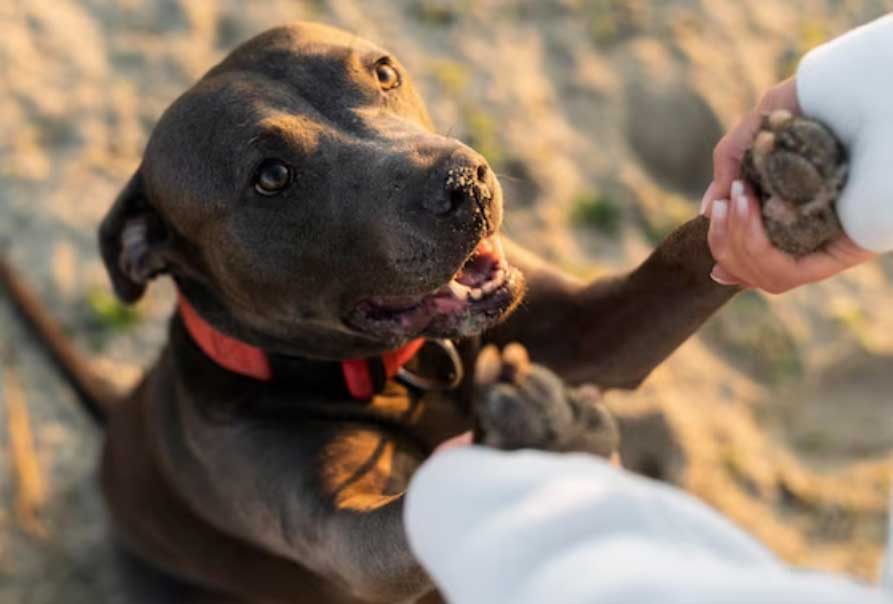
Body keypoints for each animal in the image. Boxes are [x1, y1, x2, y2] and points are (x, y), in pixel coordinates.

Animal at [0, 21, 736, 604]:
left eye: (383, 72)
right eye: (271, 176)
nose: (465, 182)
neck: (395, 373)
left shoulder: (589, 329)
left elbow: (681, 257)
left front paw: (763, 182)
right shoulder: (341, 533)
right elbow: (405, 523)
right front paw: (539, 440)